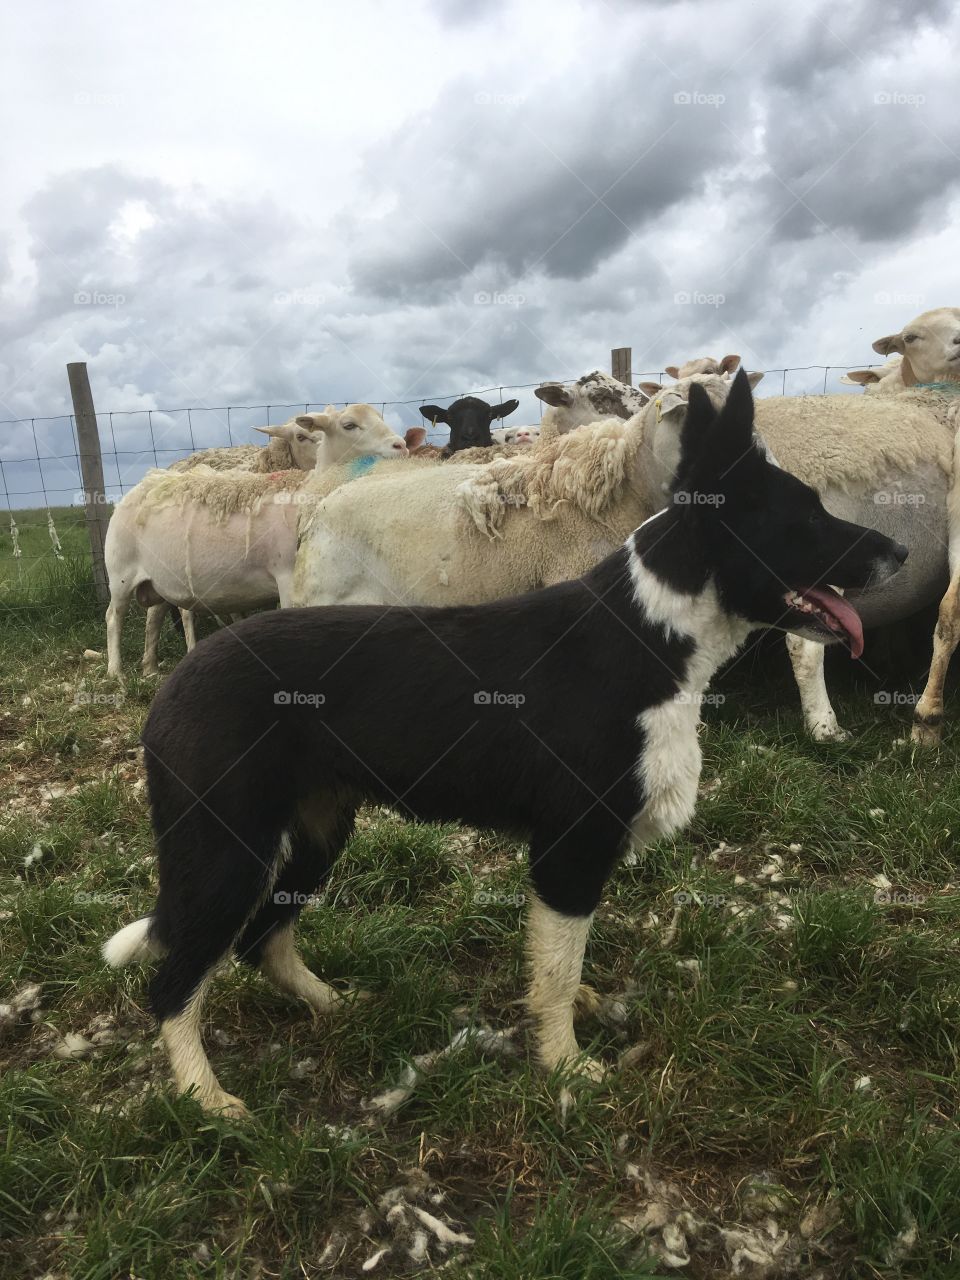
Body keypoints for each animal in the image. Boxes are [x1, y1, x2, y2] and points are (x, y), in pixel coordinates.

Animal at [107, 405, 407, 679]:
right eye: (349, 425)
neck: (309, 493)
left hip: (158, 579)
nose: (402, 445)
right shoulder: (287, 578)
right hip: (120, 573)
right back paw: (116, 674)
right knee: (114, 616)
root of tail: (145, 483)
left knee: (154, 616)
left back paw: (151, 669)